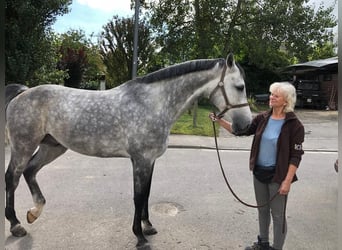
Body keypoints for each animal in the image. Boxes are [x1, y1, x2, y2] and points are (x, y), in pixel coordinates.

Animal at [4, 52, 251, 246]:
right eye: (239, 86)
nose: (246, 126)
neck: (153, 104)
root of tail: (22, 93)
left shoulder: (150, 160)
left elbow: (147, 194)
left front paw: (148, 226)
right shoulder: (141, 160)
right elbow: (138, 197)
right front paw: (139, 236)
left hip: (52, 147)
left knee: (30, 172)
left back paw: (34, 213)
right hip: (24, 146)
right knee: (12, 178)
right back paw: (16, 224)